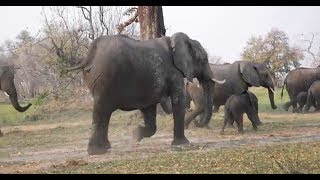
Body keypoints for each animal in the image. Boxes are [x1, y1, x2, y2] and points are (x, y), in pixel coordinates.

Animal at [67, 32, 226, 155]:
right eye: (203, 59)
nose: (199, 124)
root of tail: (90, 55)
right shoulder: (173, 72)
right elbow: (178, 101)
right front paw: (182, 144)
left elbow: (149, 108)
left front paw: (136, 134)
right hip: (104, 79)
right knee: (101, 112)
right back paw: (97, 152)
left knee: (104, 114)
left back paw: (106, 148)